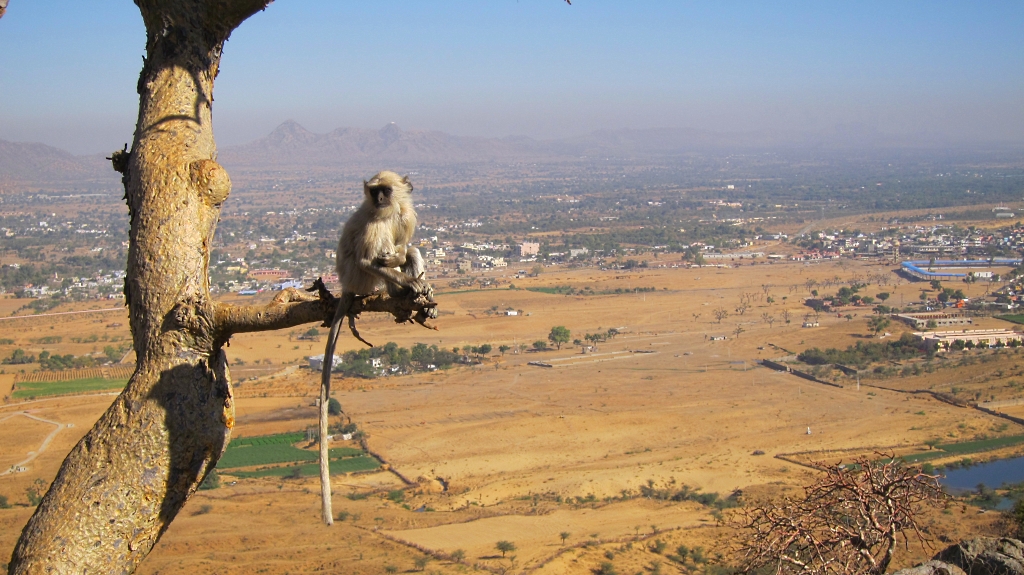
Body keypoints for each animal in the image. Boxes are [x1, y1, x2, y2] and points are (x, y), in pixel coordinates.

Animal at [319, 169, 432, 523]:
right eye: (374, 191)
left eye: (385, 190)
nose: (380, 199)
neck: (388, 211)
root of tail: (344, 284)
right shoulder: (373, 225)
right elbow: (371, 259)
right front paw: (411, 283)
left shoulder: (407, 215)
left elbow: (405, 245)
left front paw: (407, 264)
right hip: (361, 279)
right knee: (377, 261)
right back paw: (406, 291)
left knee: (409, 250)